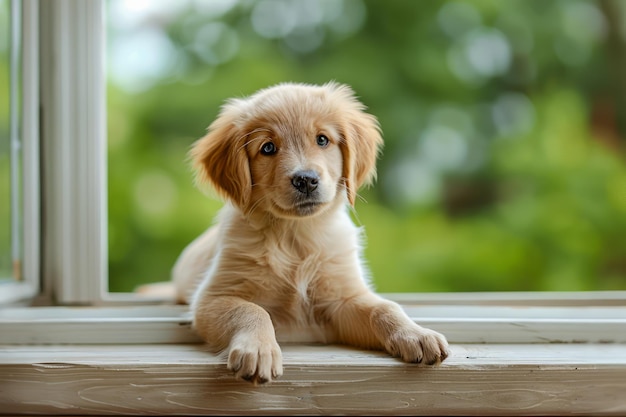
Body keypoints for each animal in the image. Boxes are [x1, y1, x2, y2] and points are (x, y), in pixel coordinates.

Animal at [173, 81, 446, 384]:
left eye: (322, 140)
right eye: (268, 147)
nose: (306, 180)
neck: (295, 236)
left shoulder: (342, 298)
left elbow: (384, 307)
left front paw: (416, 334)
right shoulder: (213, 298)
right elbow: (252, 310)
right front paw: (258, 349)